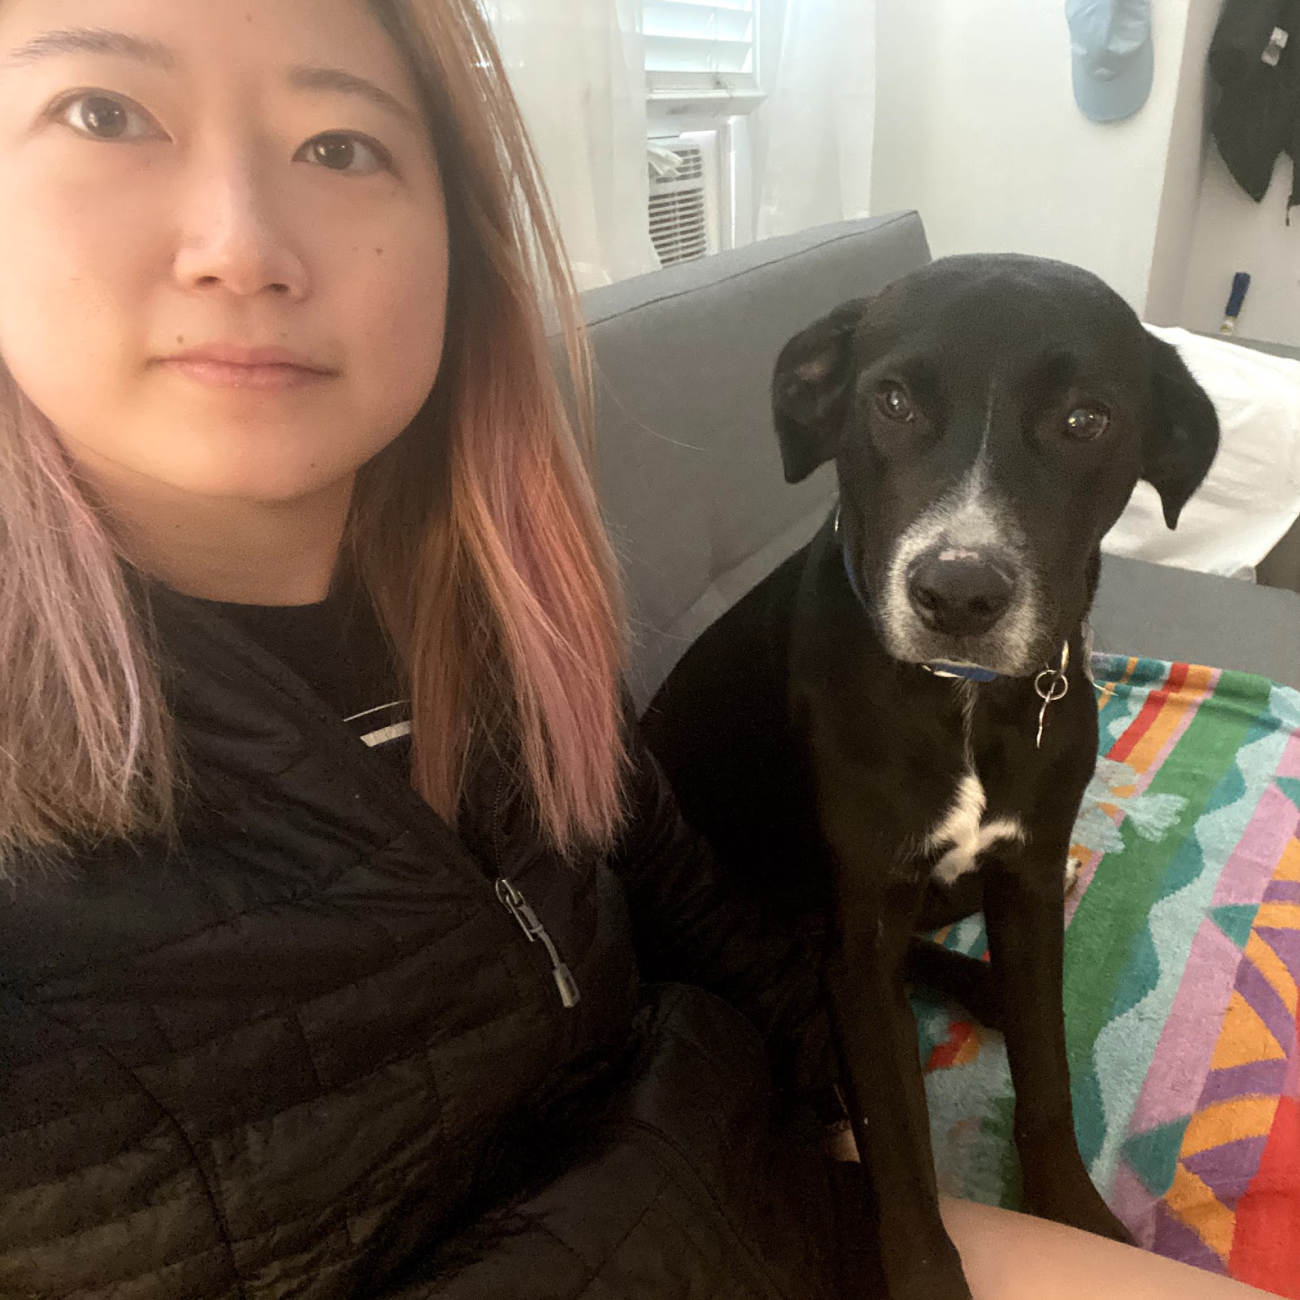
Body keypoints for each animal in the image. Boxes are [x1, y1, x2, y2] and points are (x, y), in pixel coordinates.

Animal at [641, 253, 1220, 1300]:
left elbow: (1046, 1073)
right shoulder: (861, 936)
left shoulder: (1026, 880)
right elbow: (897, 1138)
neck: (963, 701)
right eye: (893, 400)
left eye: (1086, 419)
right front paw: (923, 1270)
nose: (958, 594)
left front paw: (1073, 1213)